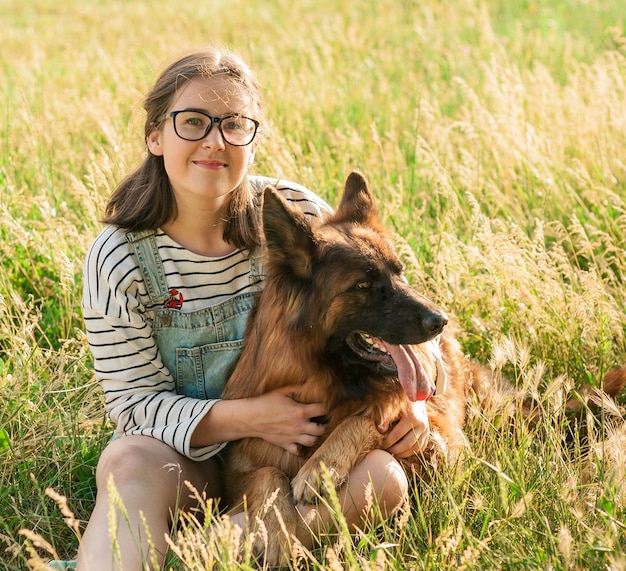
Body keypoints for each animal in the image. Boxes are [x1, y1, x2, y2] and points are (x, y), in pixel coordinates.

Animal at [219, 171, 624, 568]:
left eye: (399, 273)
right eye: (364, 284)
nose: (441, 321)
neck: (328, 384)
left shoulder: (442, 443)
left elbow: (368, 419)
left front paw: (323, 466)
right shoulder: (243, 462)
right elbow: (268, 474)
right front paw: (277, 530)